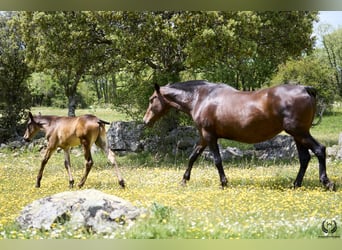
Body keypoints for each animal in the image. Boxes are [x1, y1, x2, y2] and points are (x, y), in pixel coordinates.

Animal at [143, 79, 336, 189]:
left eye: (152, 99)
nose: (146, 121)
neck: (201, 98)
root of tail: (305, 89)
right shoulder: (204, 137)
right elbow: (192, 156)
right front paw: (184, 180)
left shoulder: (210, 136)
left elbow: (217, 160)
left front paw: (223, 183)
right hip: (297, 136)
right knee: (305, 158)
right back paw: (296, 185)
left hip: (299, 132)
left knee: (320, 150)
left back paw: (326, 182)